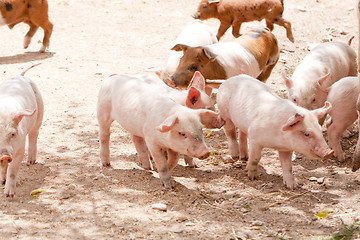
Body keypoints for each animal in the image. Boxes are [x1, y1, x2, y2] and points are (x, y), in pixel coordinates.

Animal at [0, 65, 44, 197]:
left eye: (13, 134)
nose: (4, 155)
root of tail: (20, 76)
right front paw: (1, 182)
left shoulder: (20, 146)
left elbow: (13, 169)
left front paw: (8, 195)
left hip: (40, 111)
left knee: (34, 134)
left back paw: (31, 161)